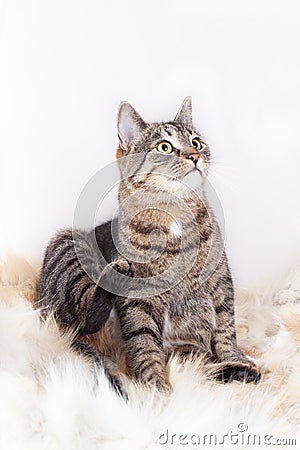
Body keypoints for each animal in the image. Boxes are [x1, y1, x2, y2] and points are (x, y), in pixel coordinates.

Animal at [37, 96, 262, 396]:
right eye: (164, 147)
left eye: (196, 142)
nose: (194, 155)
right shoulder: (138, 301)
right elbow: (144, 344)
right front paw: (155, 388)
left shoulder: (220, 284)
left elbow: (226, 329)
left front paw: (236, 360)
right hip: (70, 245)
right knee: (84, 319)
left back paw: (233, 371)